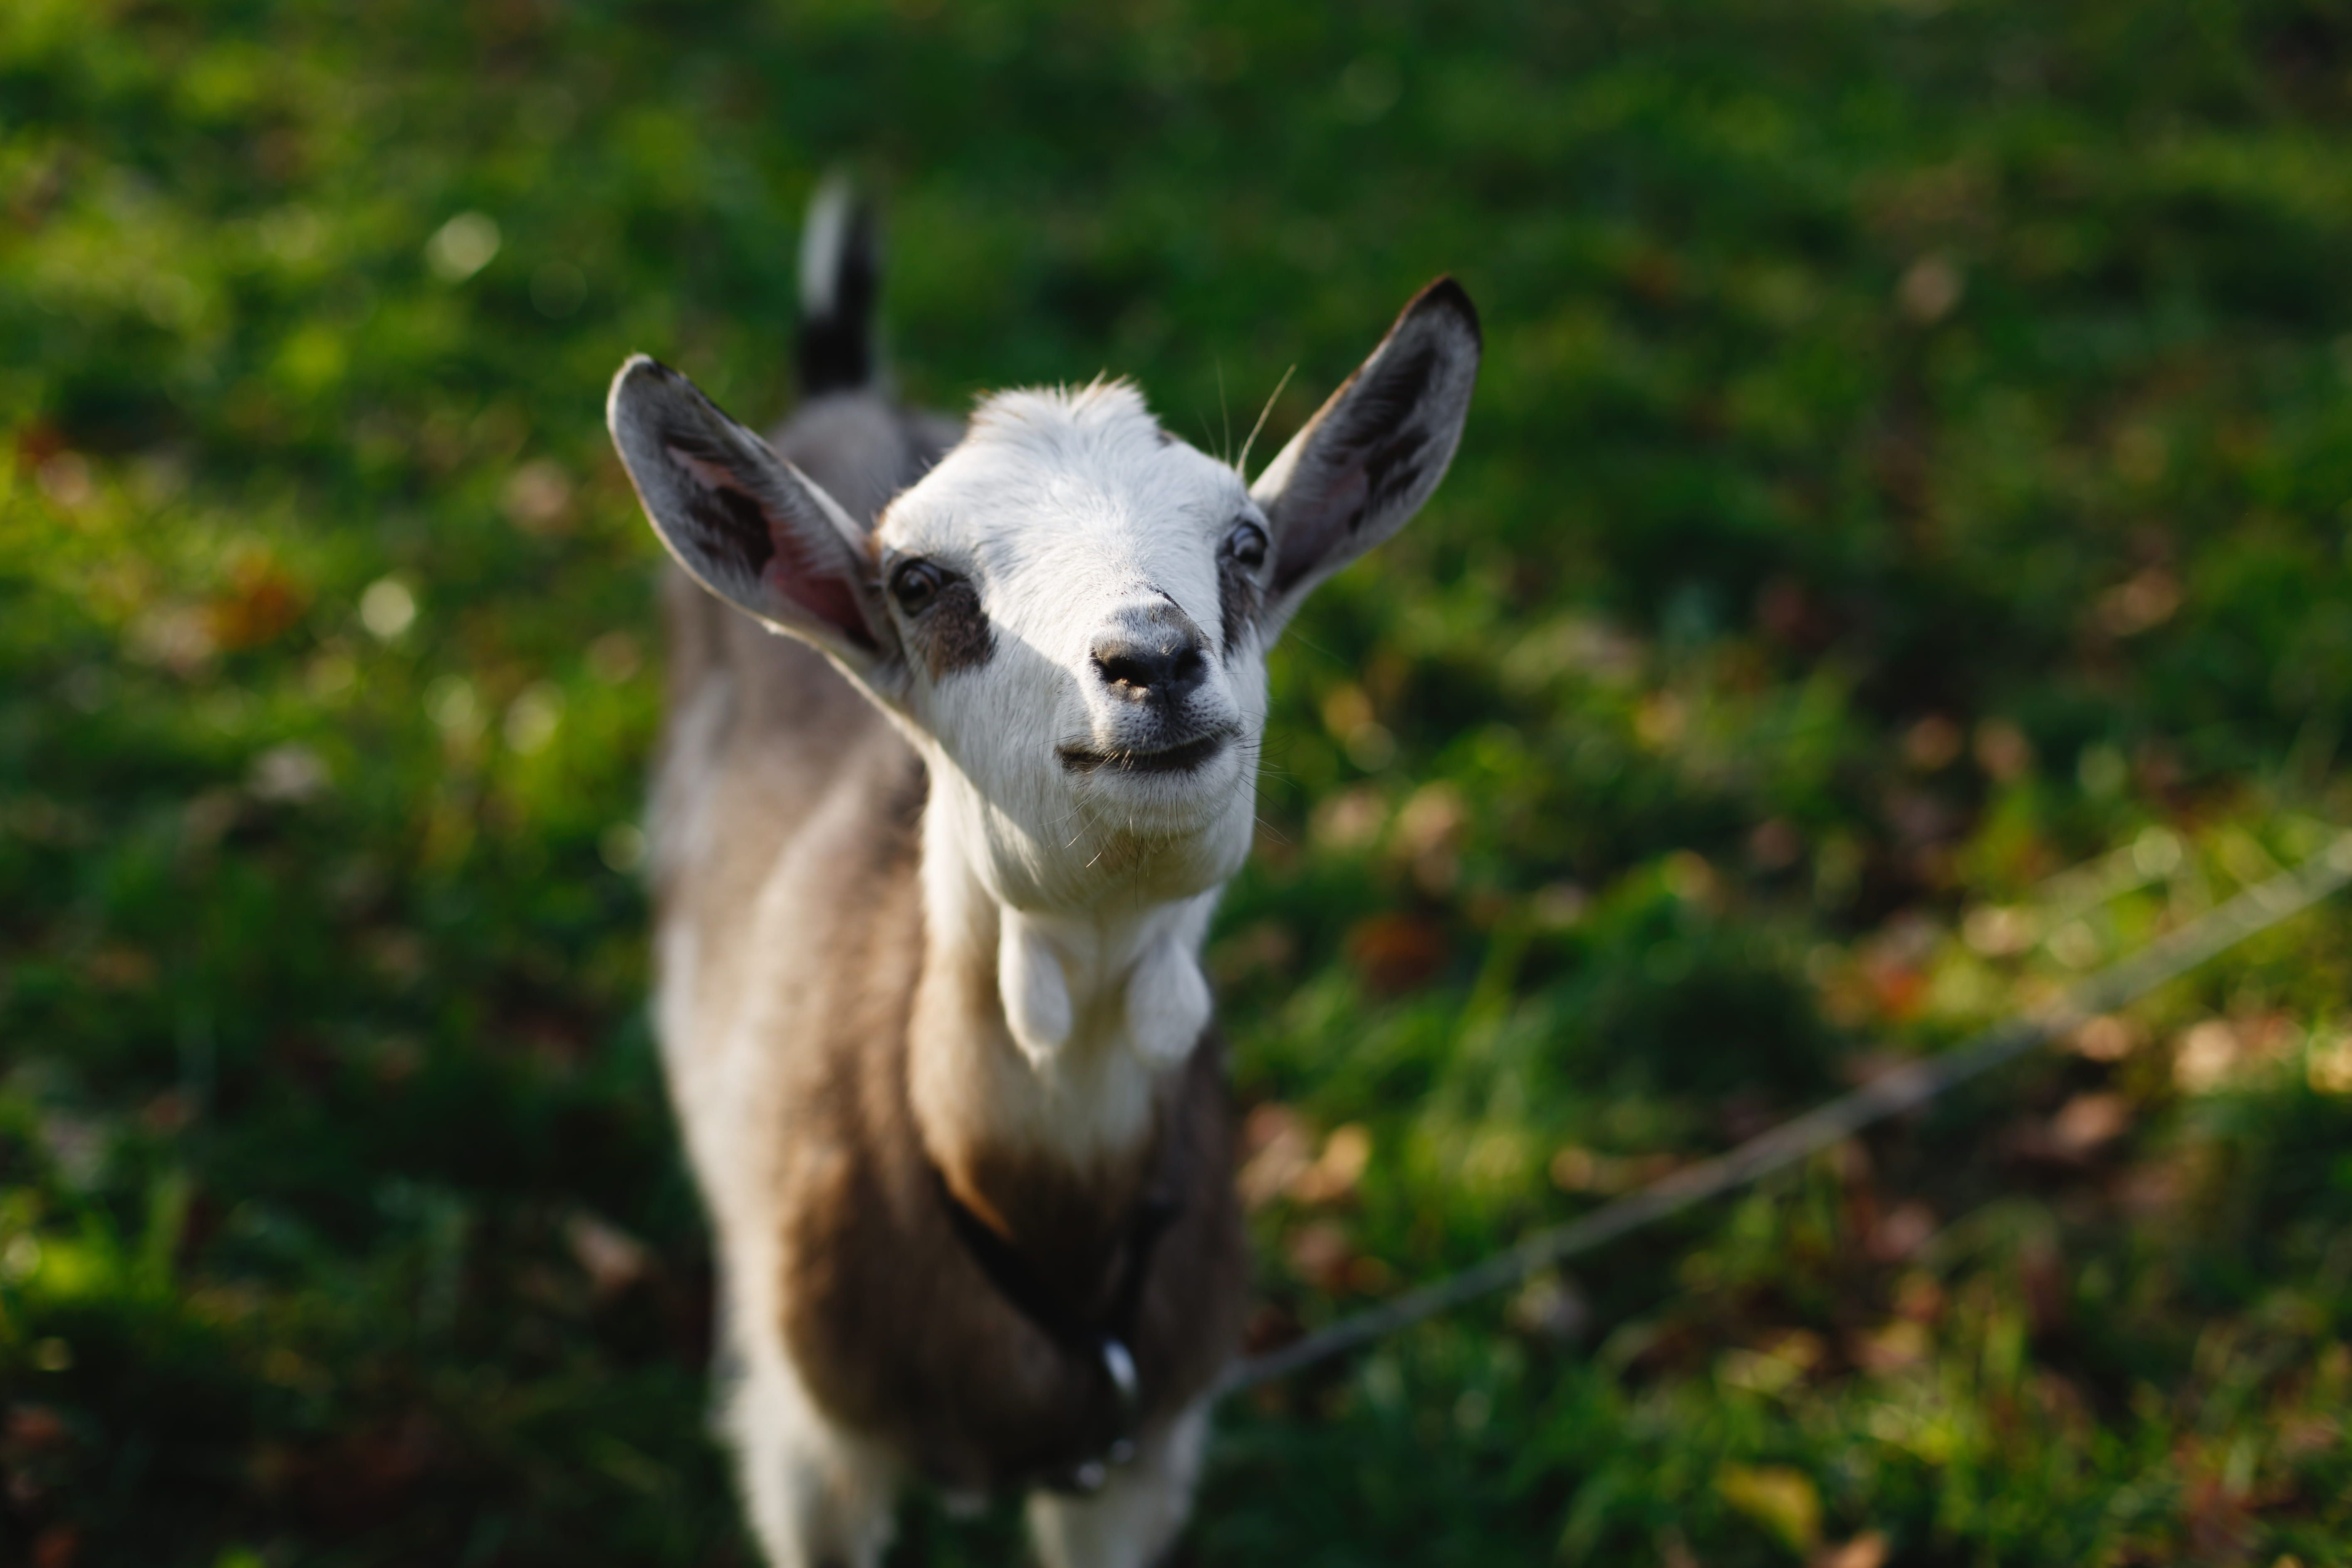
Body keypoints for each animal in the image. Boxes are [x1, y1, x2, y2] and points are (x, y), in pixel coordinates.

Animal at [605, 182, 1480, 1568]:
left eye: (1245, 544)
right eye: (920, 580)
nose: (1150, 659)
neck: (1041, 1215)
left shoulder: (1138, 1455)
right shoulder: (817, 1462)